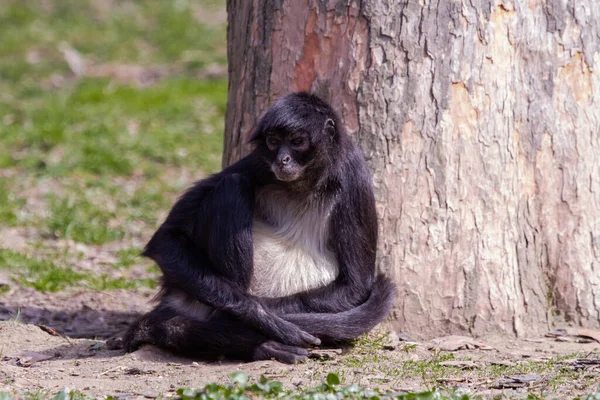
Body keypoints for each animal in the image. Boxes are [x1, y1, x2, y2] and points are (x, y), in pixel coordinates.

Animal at [124, 92, 396, 364]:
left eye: (297, 141)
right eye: (274, 141)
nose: (282, 160)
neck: (303, 184)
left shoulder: (354, 174)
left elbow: (354, 287)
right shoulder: (258, 163)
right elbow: (166, 239)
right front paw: (266, 319)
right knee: (232, 184)